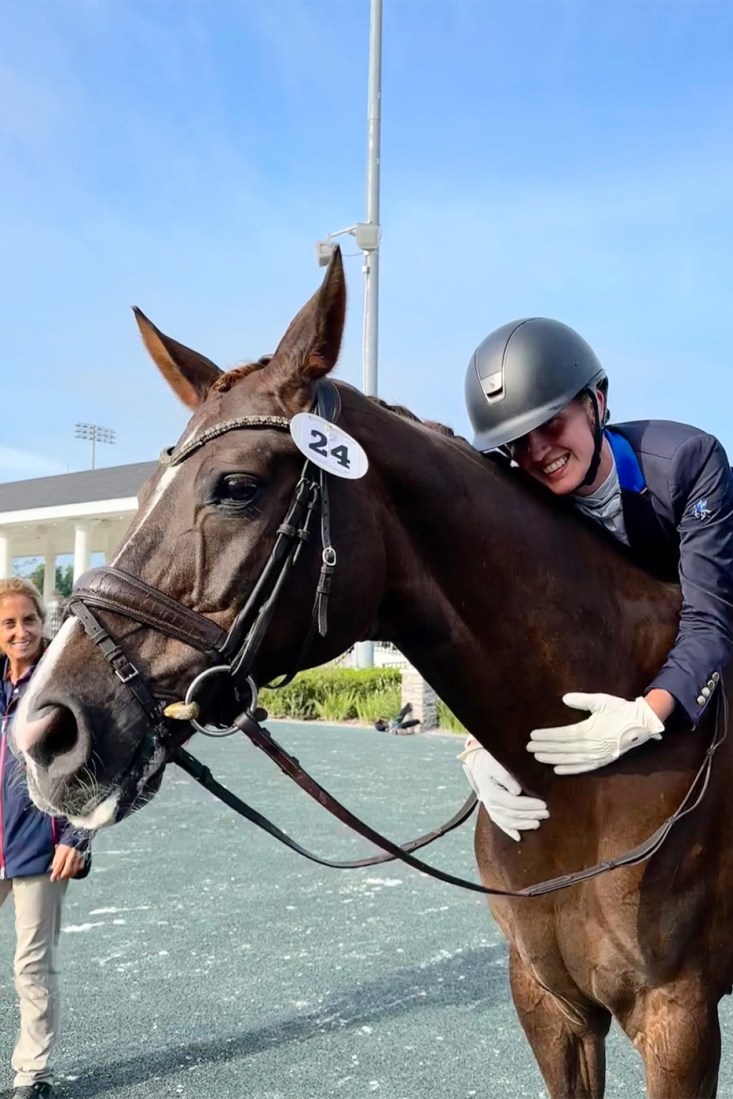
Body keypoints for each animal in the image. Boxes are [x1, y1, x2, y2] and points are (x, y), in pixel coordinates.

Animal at [14, 251, 733, 1099]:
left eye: (236, 486)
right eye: (140, 493)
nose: (43, 731)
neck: (580, 787)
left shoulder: (677, 1016)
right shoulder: (548, 1001)